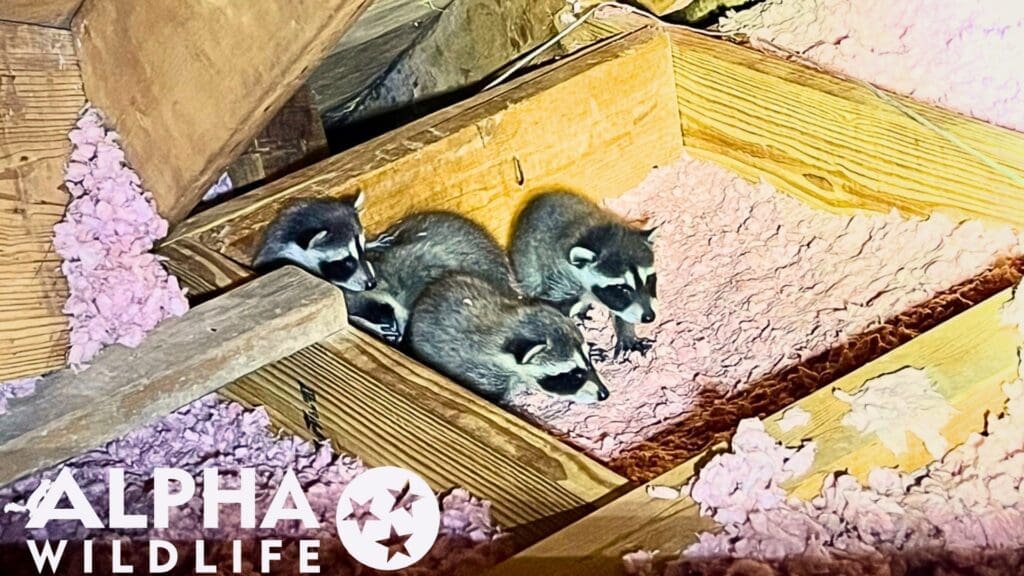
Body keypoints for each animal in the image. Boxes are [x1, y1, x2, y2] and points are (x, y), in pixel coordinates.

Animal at [510, 191, 658, 358]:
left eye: (648, 280)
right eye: (622, 289)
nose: (649, 317)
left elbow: (623, 312)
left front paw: (627, 334)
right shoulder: (560, 282)